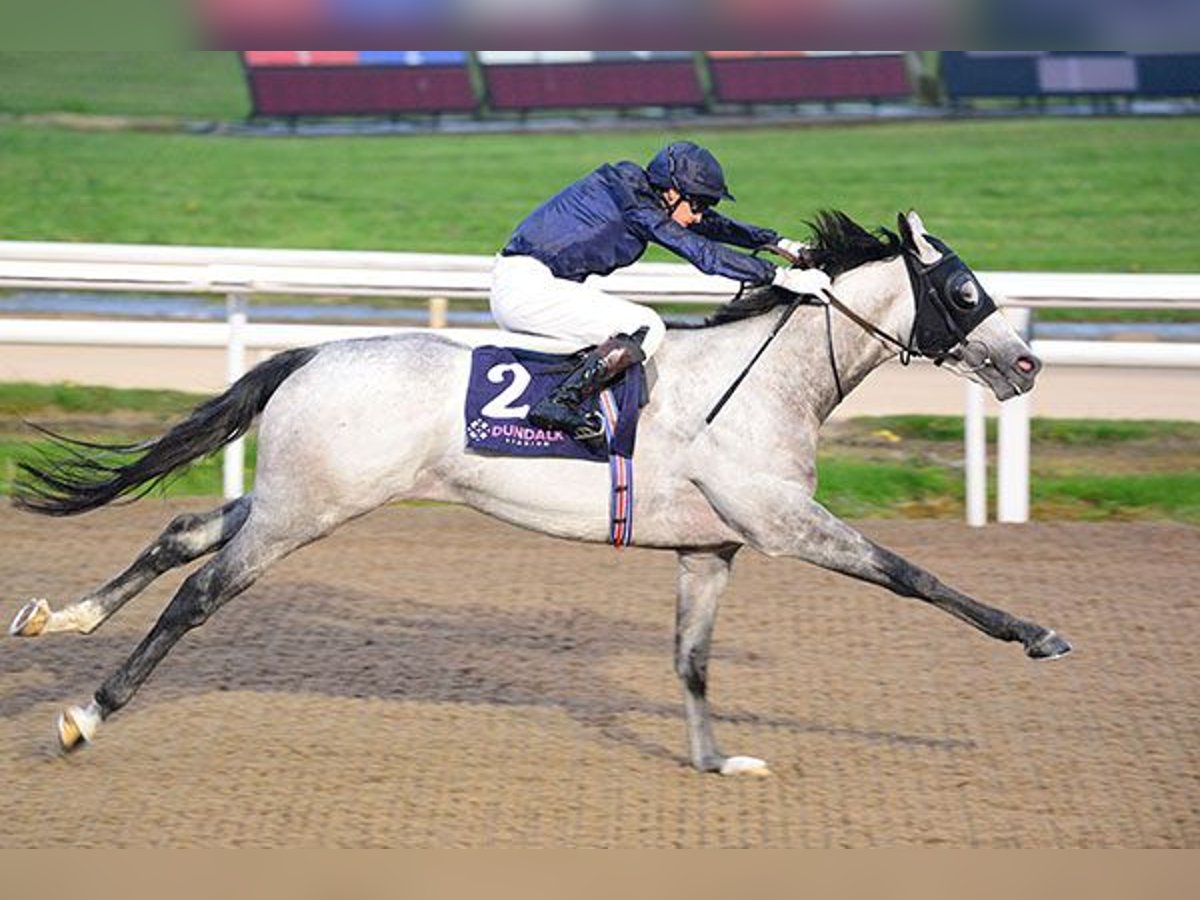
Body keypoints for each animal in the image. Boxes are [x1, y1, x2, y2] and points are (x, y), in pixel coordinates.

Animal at [7, 213, 1070, 777]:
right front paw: (1036, 633)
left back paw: (58, 618)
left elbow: (691, 662)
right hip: (307, 509)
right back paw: (87, 712)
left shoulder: (710, 547)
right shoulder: (783, 521)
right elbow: (914, 576)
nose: (1028, 361)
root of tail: (312, 351)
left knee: (185, 529)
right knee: (200, 591)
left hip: (294, 496)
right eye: (966, 293)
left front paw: (716, 760)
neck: (765, 379)